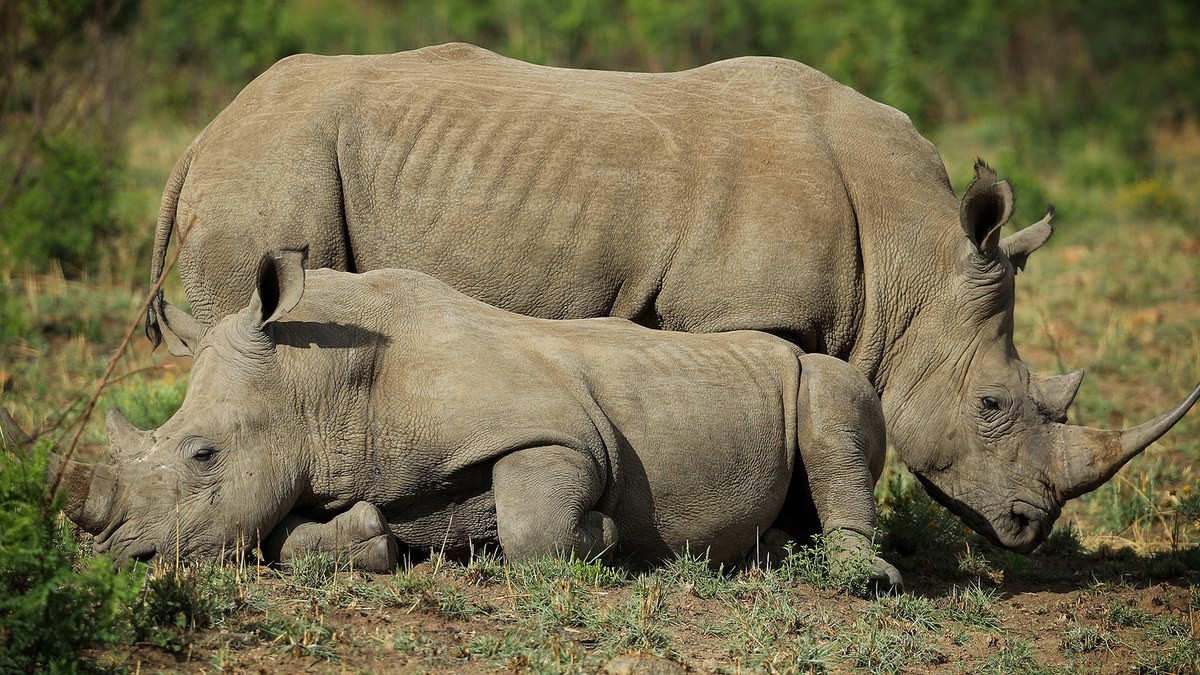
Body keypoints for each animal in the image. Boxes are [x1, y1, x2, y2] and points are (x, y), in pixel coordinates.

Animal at [53, 250, 900, 584]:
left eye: (202, 454)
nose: (119, 553)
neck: (316, 382)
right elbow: (285, 535)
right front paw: (372, 536)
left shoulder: (558, 431)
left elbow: (535, 525)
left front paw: (610, 535)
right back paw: (775, 552)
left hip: (815, 373)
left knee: (831, 399)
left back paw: (861, 578)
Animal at [146, 43, 1199, 554]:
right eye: (991, 405)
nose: (1030, 526)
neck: (915, 264)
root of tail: (203, 133)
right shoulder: (744, 315)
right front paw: (782, 538)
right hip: (271, 171)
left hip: (269, 161)